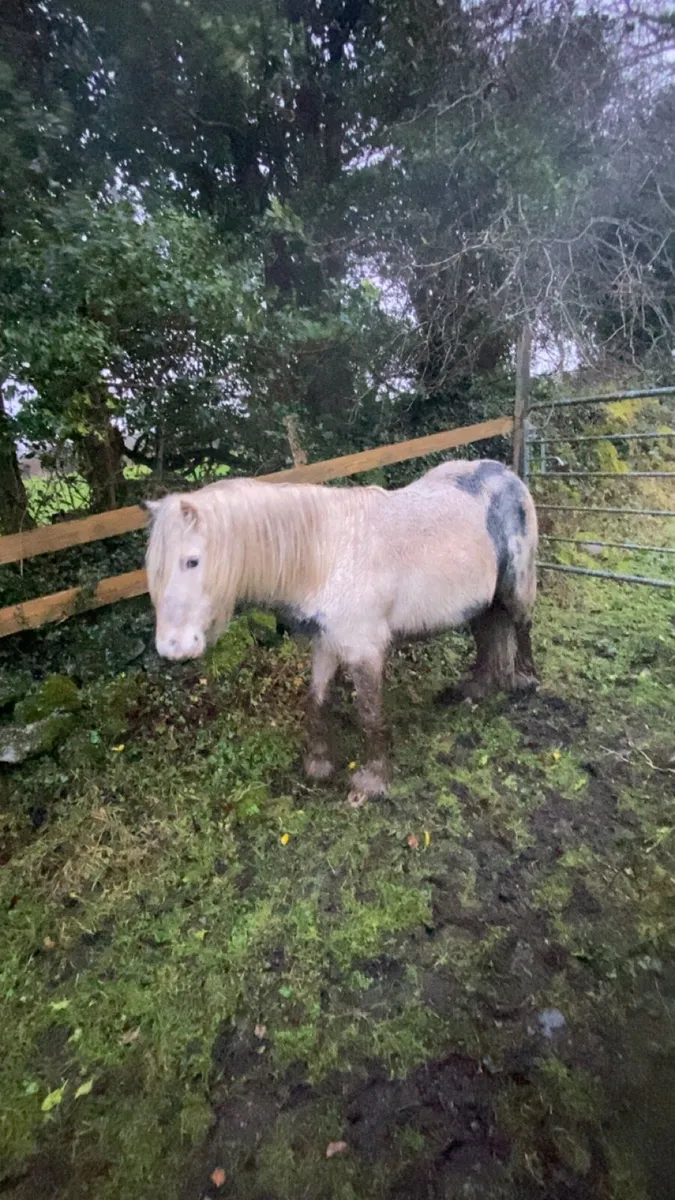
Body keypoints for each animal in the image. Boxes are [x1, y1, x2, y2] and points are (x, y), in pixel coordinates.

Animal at [143, 459, 538, 800]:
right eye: (154, 569)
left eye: (192, 561)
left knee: (522, 627)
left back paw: (525, 681)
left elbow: (369, 712)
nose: (172, 647)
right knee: (486, 633)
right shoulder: (325, 642)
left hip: (516, 587)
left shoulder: (365, 649)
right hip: (482, 600)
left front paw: (372, 782)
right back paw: (475, 690)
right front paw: (318, 765)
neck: (325, 556)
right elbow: (317, 700)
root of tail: (505, 473)